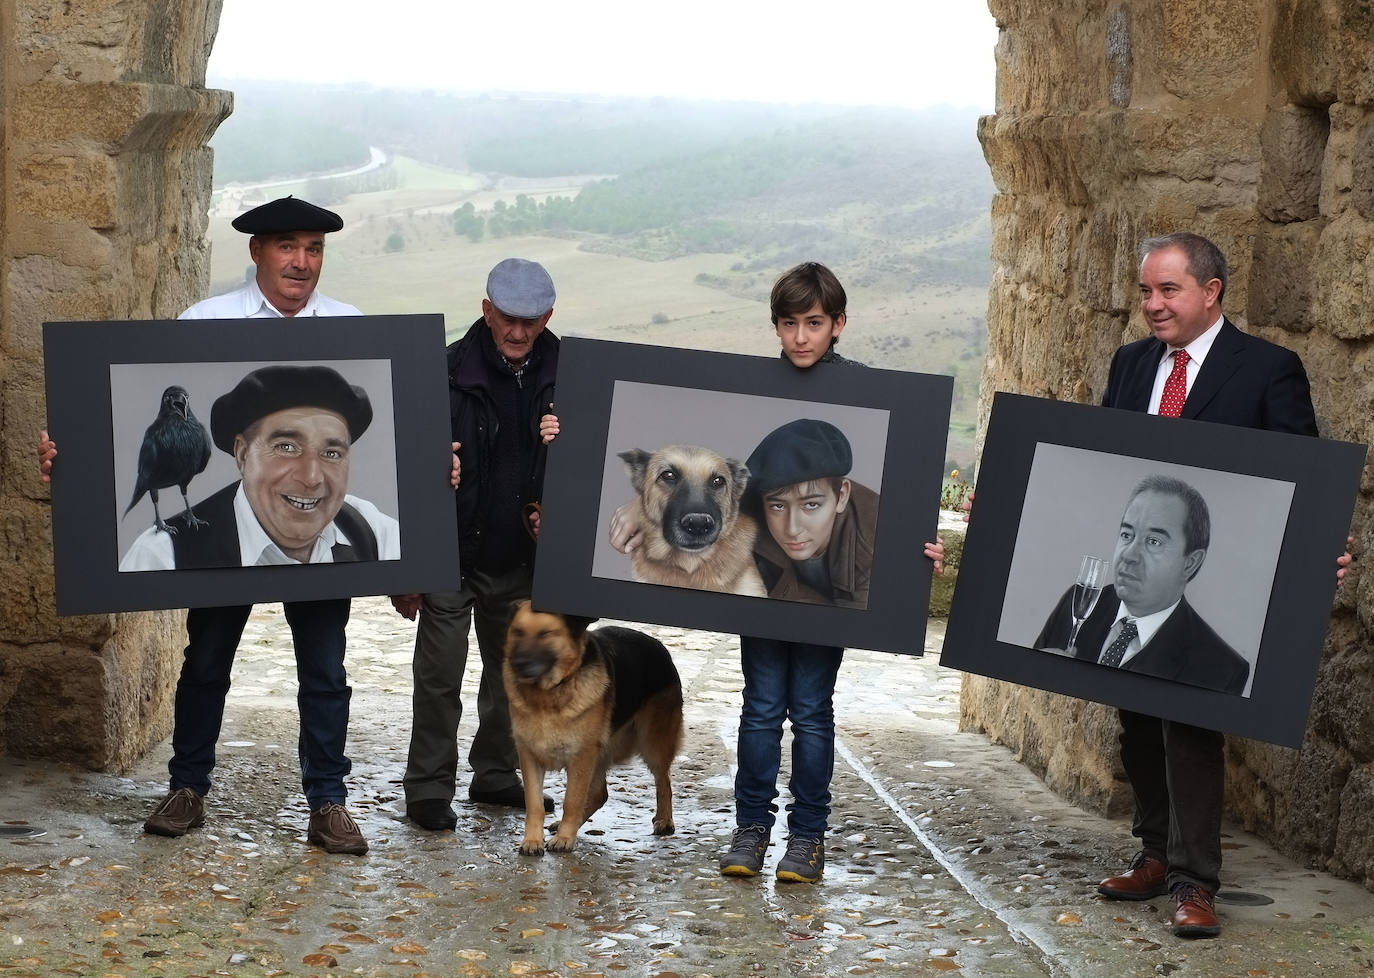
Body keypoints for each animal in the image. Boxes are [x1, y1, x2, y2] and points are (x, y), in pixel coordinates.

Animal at [502, 598, 684, 857]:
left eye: (545, 634)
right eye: (517, 632)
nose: (518, 664)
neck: (550, 694)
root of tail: (658, 645)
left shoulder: (581, 755)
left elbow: (572, 800)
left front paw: (565, 838)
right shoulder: (529, 756)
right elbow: (534, 804)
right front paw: (532, 840)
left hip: (652, 743)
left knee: (663, 780)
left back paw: (664, 820)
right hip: (601, 752)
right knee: (600, 793)